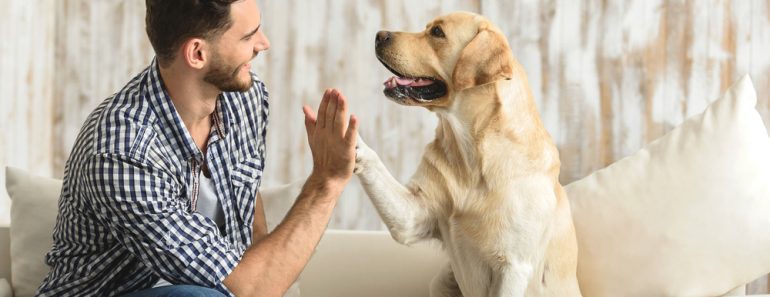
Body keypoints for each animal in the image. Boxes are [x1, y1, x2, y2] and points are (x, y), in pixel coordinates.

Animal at [352, 12, 580, 296]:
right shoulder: (413, 216)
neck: (471, 154)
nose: (379, 35)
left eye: (437, 32)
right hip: (441, 280)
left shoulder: (515, 266)